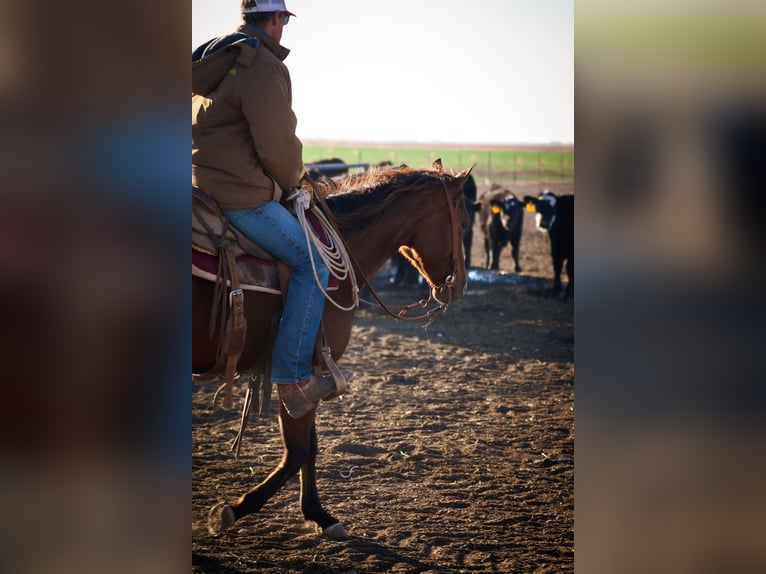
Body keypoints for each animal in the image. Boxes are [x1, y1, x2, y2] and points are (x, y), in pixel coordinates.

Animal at [193, 161, 472, 539]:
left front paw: (317, 513)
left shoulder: (310, 374)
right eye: (464, 223)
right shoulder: (300, 374)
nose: (460, 286)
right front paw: (234, 509)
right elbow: (298, 450)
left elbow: (310, 446)